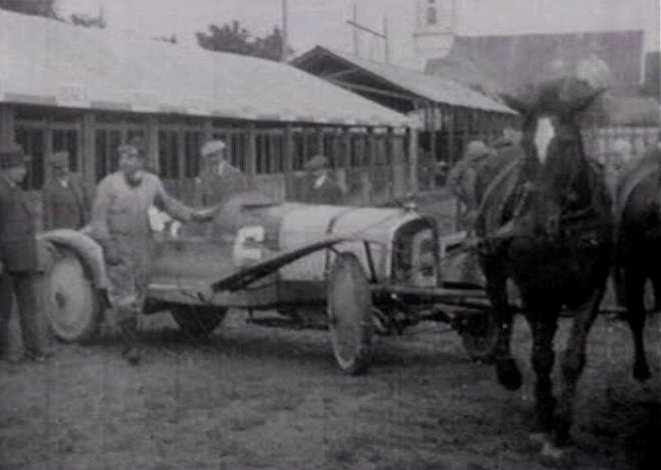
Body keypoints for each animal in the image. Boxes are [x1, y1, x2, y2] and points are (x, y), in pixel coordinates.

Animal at [472, 78, 612, 458]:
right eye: (526, 145)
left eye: (566, 143)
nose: (534, 223)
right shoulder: (536, 290)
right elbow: (541, 355)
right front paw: (543, 416)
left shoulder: (592, 288)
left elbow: (571, 357)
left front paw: (562, 425)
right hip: (491, 262)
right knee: (501, 310)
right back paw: (508, 371)